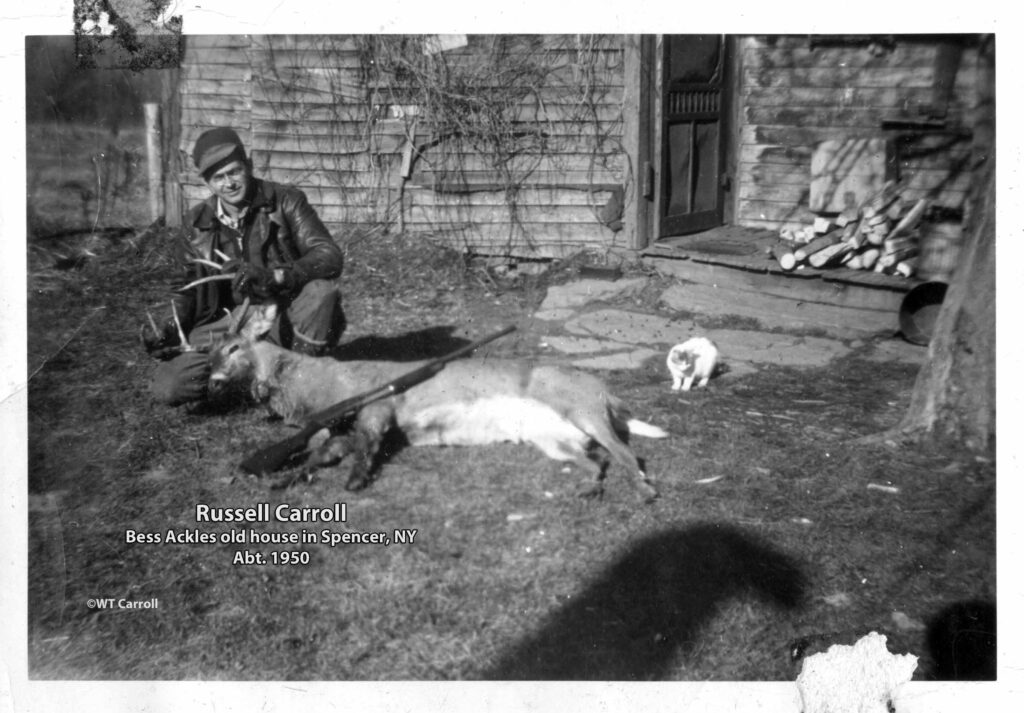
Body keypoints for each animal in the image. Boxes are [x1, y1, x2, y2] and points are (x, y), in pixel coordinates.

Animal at [209, 303, 671, 497]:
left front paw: (354, 481)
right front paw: (282, 478)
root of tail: (607, 392)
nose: (211, 377)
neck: (317, 385)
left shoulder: (377, 408)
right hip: (555, 437)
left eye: (233, 347)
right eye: (214, 346)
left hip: (582, 407)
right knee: (600, 460)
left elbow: (362, 448)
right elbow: (318, 453)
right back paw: (591, 490)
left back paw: (645, 492)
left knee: (630, 455)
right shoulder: (343, 426)